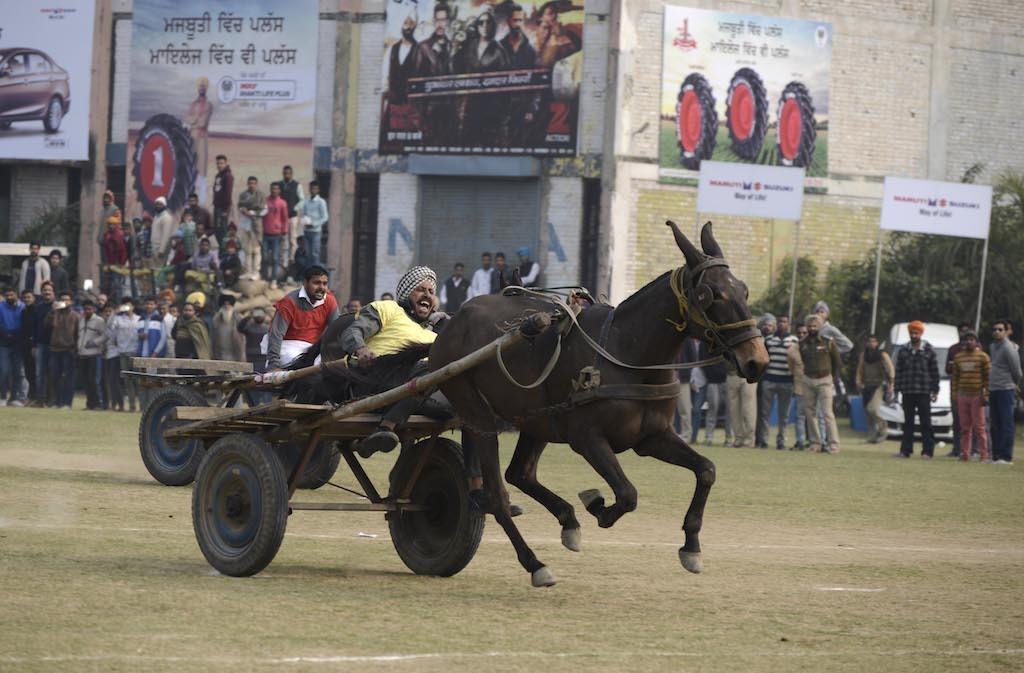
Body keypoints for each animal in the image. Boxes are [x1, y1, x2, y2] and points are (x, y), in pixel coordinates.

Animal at [428, 223, 770, 585]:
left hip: (536, 419)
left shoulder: (652, 437)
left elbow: (706, 470)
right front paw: (598, 507)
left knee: (520, 472)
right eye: (712, 294)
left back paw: (567, 520)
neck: (629, 353)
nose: (756, 361)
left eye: (744, 291)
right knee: (498, 494)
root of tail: (453, 323)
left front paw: (691, 545)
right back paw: (535, 562)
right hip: (476, 411)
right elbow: (628, 493)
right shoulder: (587, 438)